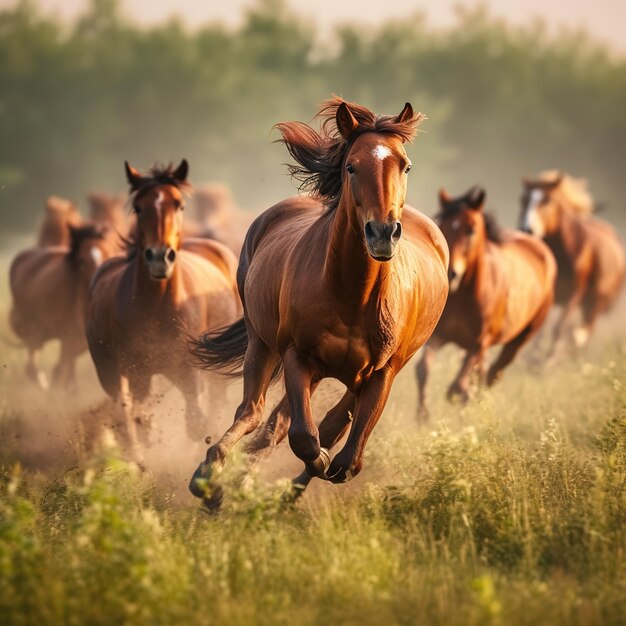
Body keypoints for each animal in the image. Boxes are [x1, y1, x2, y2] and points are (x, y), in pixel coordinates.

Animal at [9, 223, 113, 390]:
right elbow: (67, 363)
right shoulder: (68, 333)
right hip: (32, 327)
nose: (99, 284)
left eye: (107, 254)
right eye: (82, 262)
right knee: (32, 362)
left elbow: (67, 362)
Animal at [86, 158, 243, 456]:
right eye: (138, 207)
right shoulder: (135, 373)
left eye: (179, 205)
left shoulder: (189, 371)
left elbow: (196, 422)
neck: (156, 307)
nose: (160, 257)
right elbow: (138, 420)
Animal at [190, 98, 448, 508]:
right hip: (262, 343)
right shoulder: (298, 356)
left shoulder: (382, 373)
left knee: (310, 422)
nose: (383, 233)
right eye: (351, 166)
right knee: (254, 411)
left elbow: (345, 457)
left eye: (405, 165)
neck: (353, 297)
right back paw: (209, 480)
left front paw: (291, 484)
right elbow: (304, 437)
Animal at [414, 185, 556, 416]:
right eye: (441, 224)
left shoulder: (479, 343)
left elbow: (458, 386)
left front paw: (464, 399)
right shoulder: (440, 336)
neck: (464, 295)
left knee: (494, 373)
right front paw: (423, 416)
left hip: (521, 338)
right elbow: (423, 370)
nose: (451, 273)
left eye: (471, 229)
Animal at [516, 171, 624, 354]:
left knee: (584, 330)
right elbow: (542, 330)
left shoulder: (574, 293)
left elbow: (559, 329)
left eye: (547, 200)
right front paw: (535, 356)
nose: (527, 229)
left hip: (595, 304)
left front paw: (548, 360)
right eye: (523, 199)